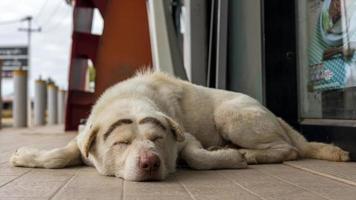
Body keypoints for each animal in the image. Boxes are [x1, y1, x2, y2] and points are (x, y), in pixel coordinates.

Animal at [9, 70, 350, 181]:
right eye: (120, 143)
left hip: (231, 114)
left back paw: (248, 153)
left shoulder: (185, 138)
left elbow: (196, 156)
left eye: (157, 139)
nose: (149, 162)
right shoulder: (84, 135)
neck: (131, 98)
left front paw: (228, 157)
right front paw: (27, 156)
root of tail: (274, 114)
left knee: (288, 149)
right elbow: (61, 154)